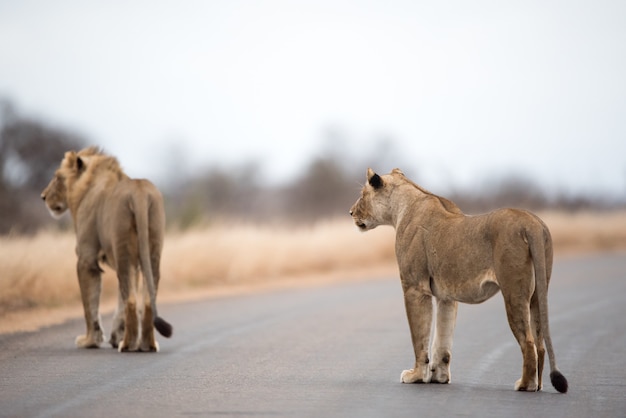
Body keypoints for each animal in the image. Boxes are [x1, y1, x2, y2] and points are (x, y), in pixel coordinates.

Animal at [41, 146, 172, 350]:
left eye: (57, 177)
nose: (43, 196)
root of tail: (139, 193)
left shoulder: (86, 259)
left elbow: (90, 305)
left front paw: (90, 341)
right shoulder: (130, 262)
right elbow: (119, 304)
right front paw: (115, 337)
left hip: (123, 250)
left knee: (132, 300)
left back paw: (127, 345)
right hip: (150, 250)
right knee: (146, 299)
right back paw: (146, 345)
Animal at [348, 168, 568, 394]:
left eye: (362, 194)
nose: (351, 212)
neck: (400, 209)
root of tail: (532, 224)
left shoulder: (414, 287)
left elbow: (419, 336)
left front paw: (416, 375)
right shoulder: (446, 296)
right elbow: (442, 340)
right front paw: (439, 377)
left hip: (513, 292)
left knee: (528, 343)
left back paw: (525, 384)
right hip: (538, 293)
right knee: (540, 343)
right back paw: (538, 384)